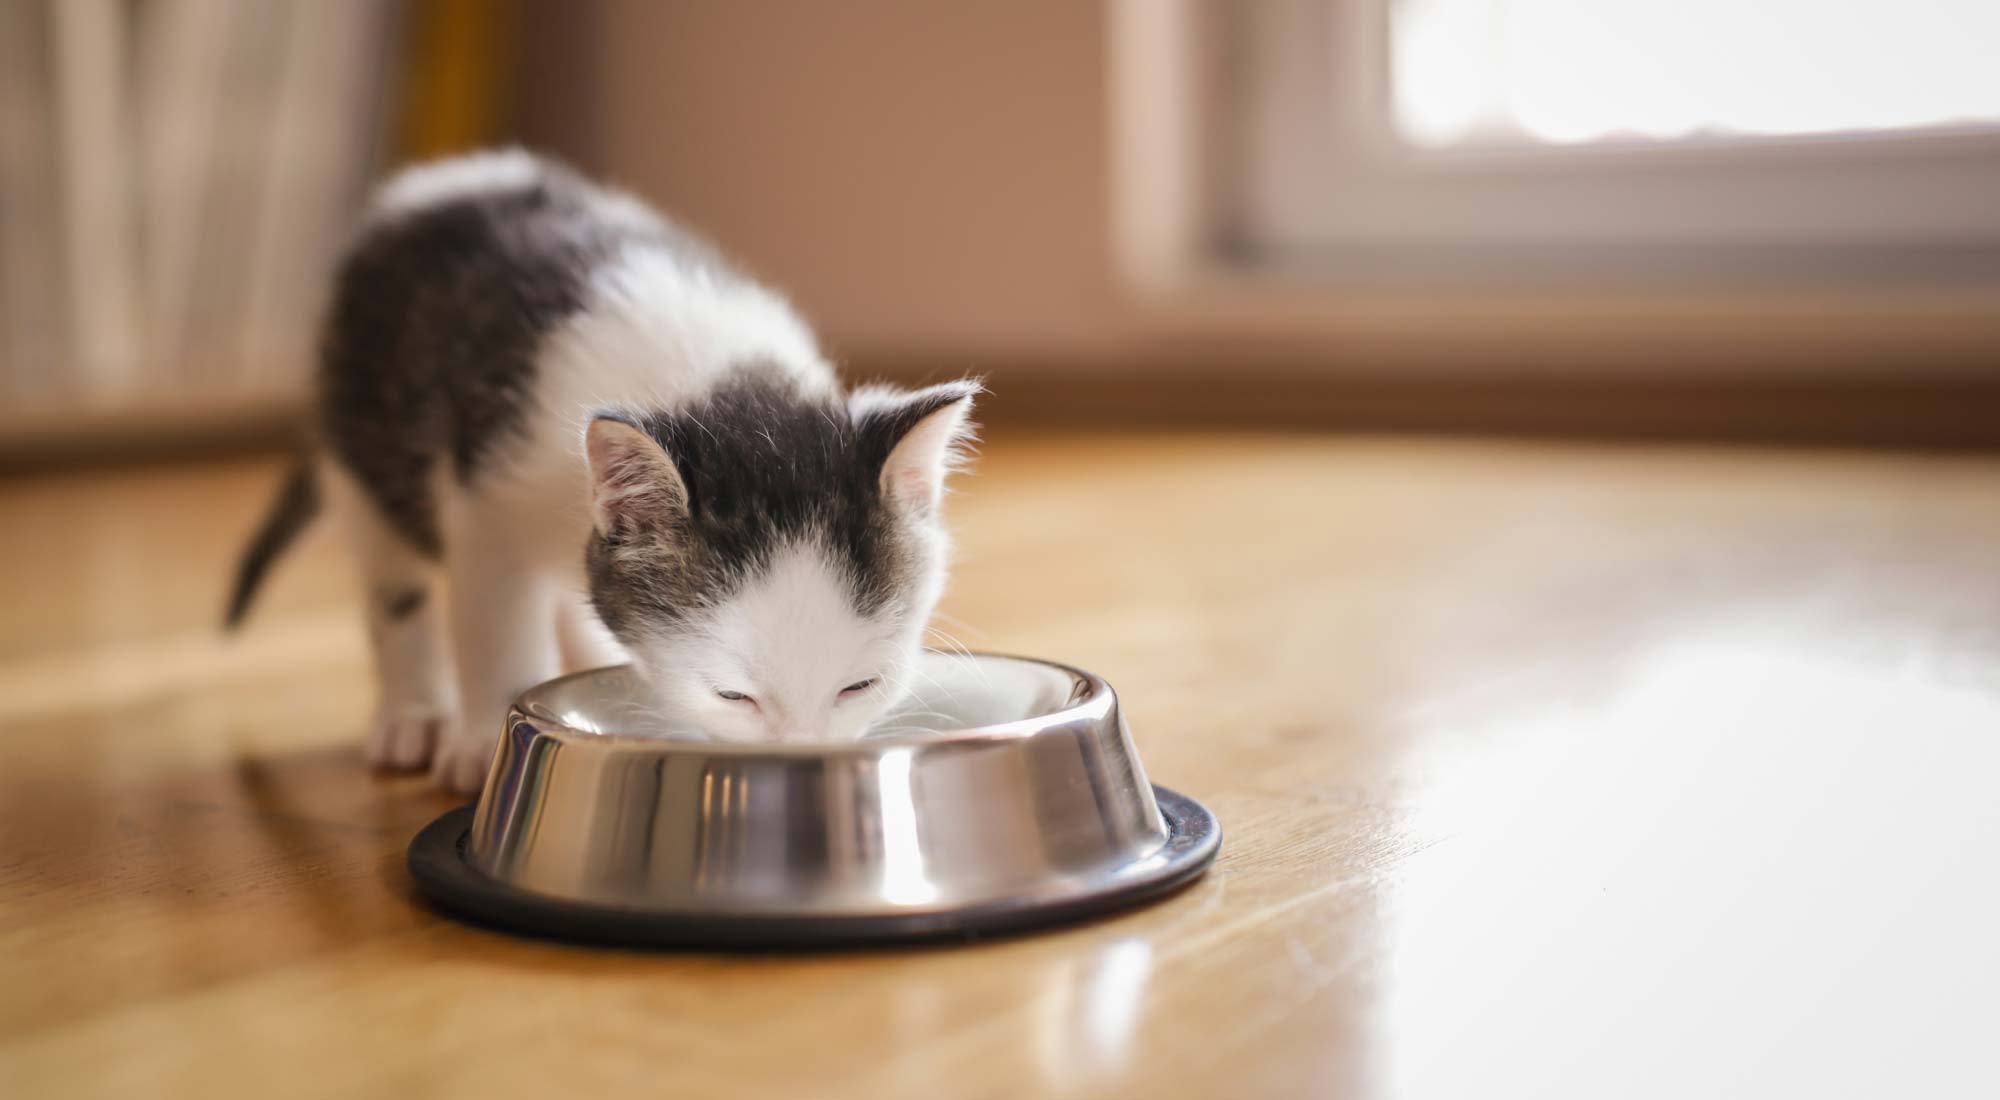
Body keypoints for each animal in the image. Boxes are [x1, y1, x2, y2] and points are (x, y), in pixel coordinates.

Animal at [227, 151, 976, 796]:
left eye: (860, 686)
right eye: (733, 695)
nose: (804, 757)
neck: (708, 379)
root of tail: (441, 178)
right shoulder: (484, 501)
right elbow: (495, 626)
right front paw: (484, 742)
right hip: (362, 435)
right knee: (394, 581)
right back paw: (412, 714)